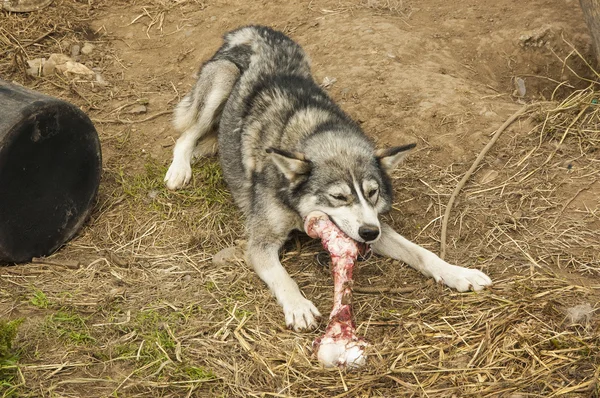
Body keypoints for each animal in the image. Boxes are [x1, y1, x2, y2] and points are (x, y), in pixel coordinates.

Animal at [165, 24, 492, 330]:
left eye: (372, 193)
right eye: (338, 197)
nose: (369, 234)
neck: (313, 132)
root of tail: (255, 30)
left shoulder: (374, 223)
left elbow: (422, 253)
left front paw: (458, 273)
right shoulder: (260, 243)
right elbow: (283, 277)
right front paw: (298, 307)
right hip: (223, 79)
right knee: (185, 136)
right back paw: (179, 170)